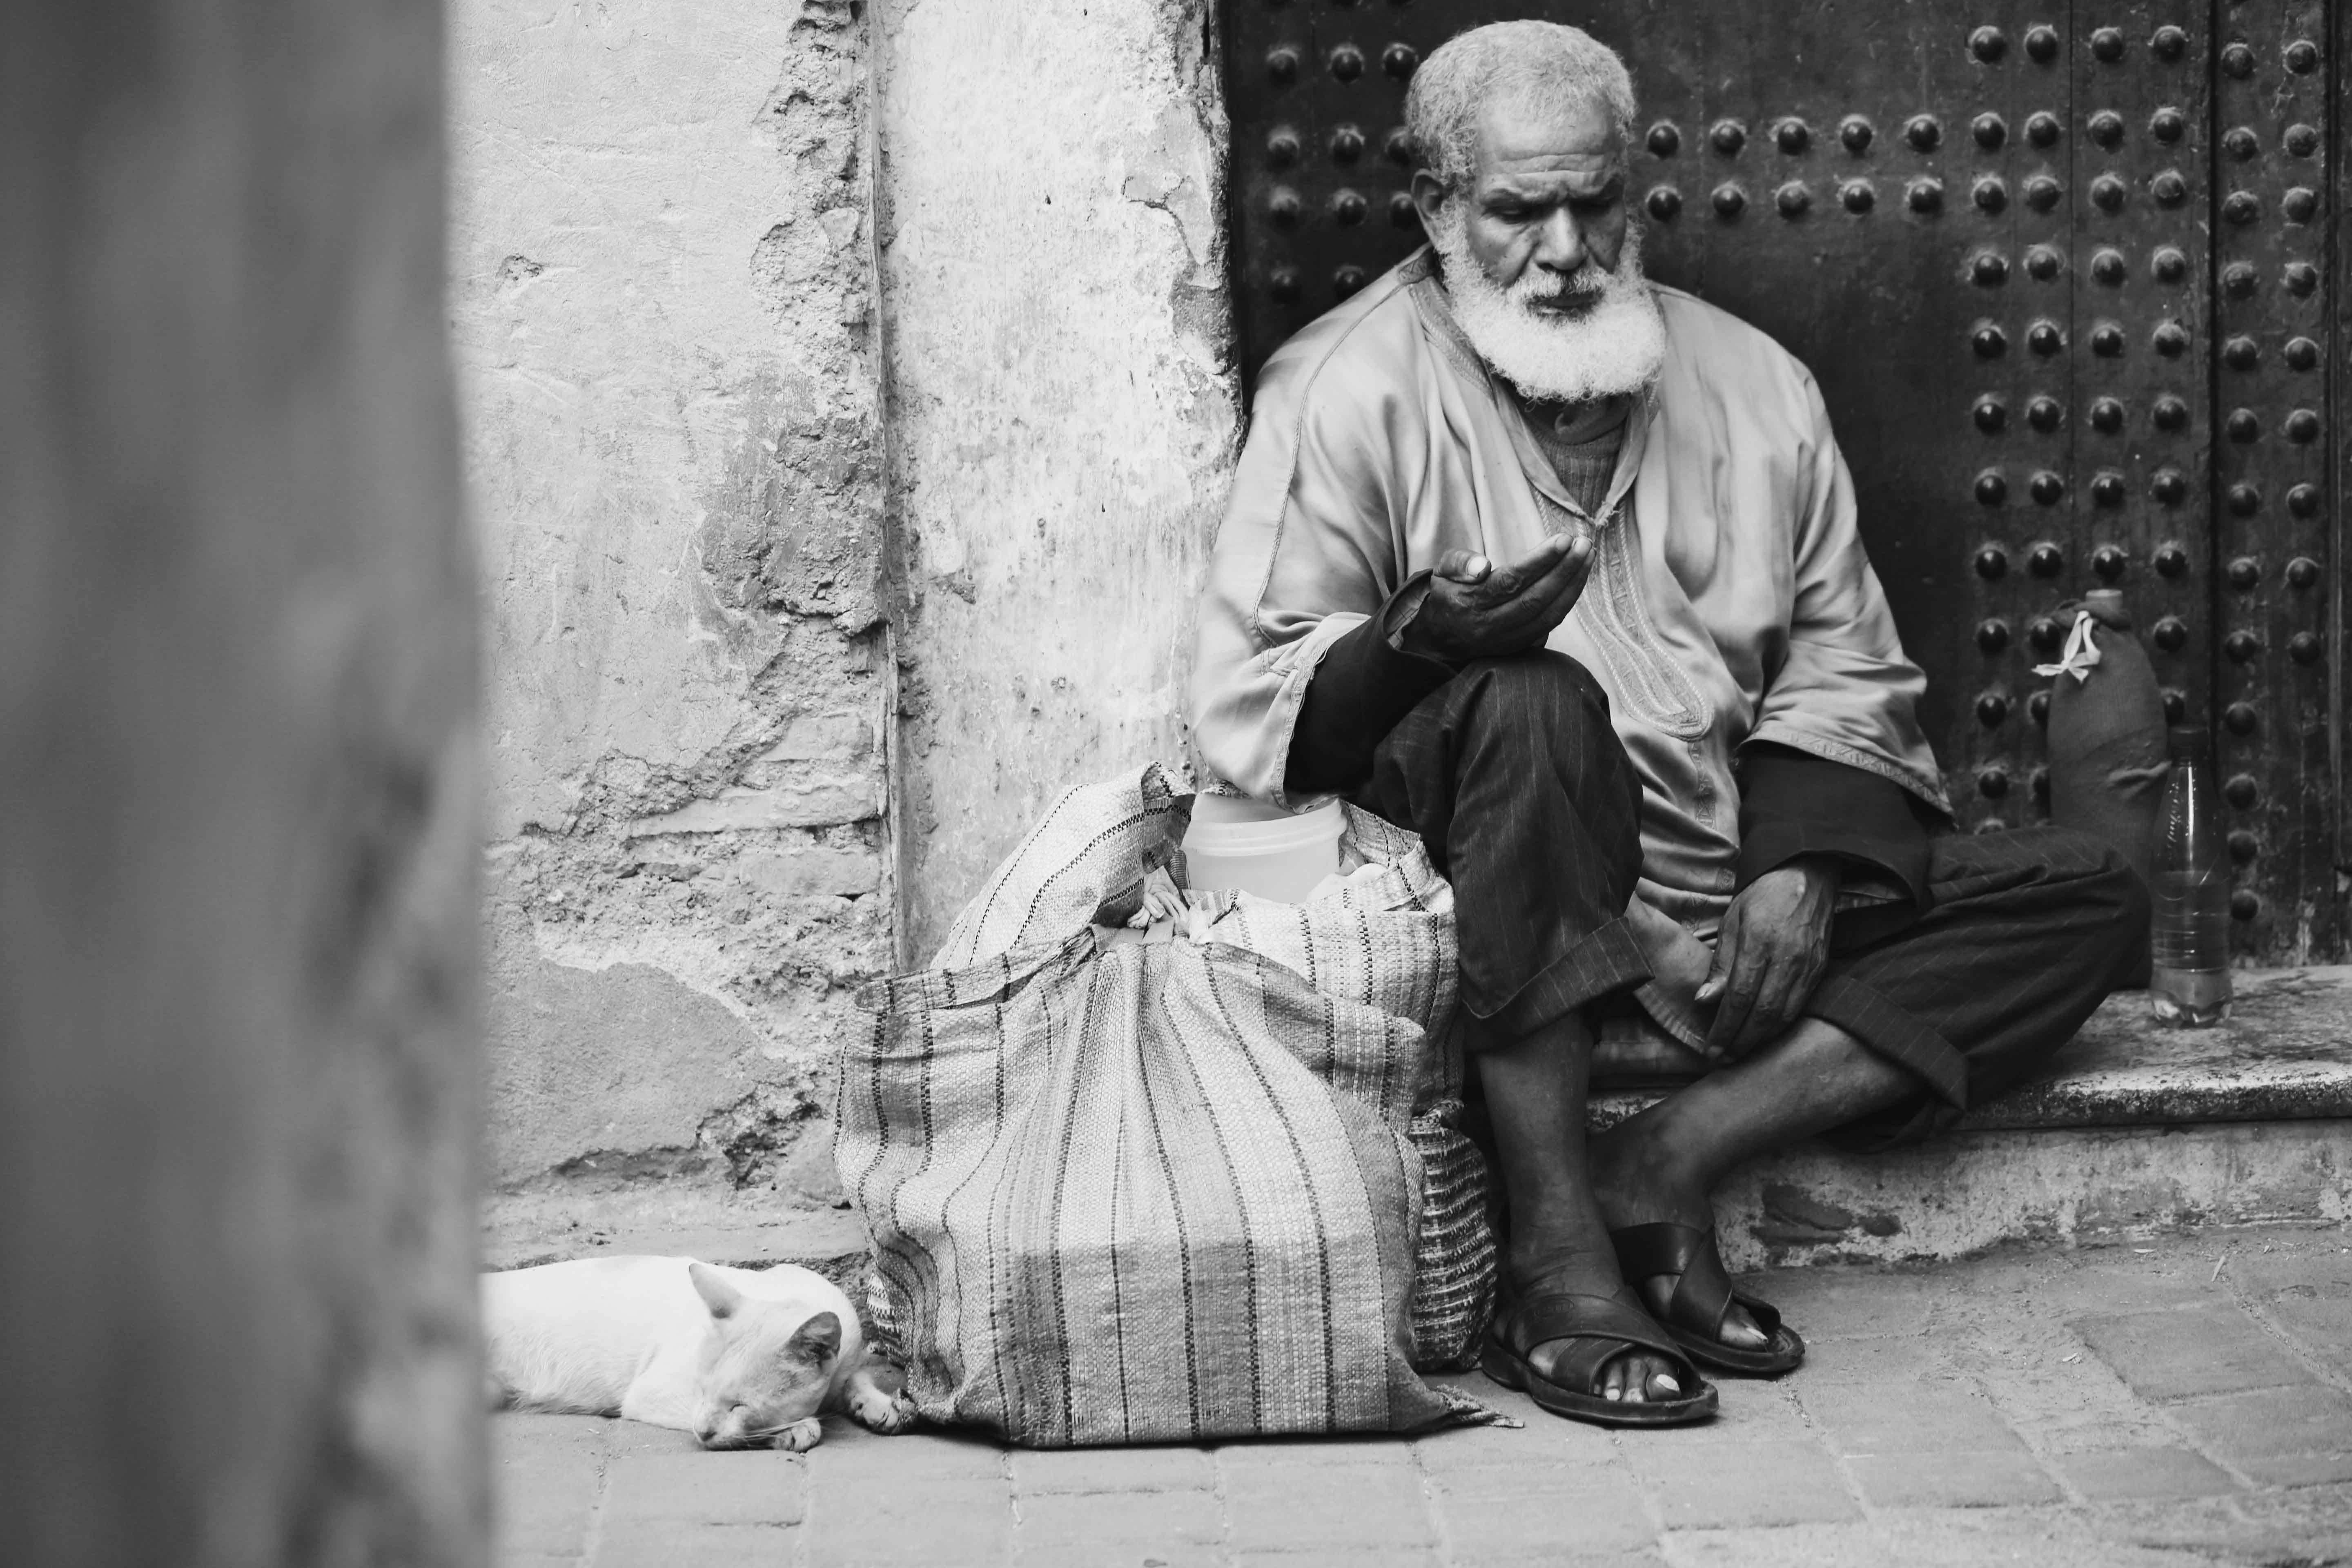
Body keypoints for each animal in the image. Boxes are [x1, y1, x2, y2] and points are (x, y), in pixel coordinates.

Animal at [482, 1260, 912, 1457]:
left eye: (740, 1405)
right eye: (699, 1391)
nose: (703, 1433)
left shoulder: (848, 1360)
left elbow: (856, 1378)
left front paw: (878, 1405)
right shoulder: (652, 1393)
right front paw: (794, 1429)